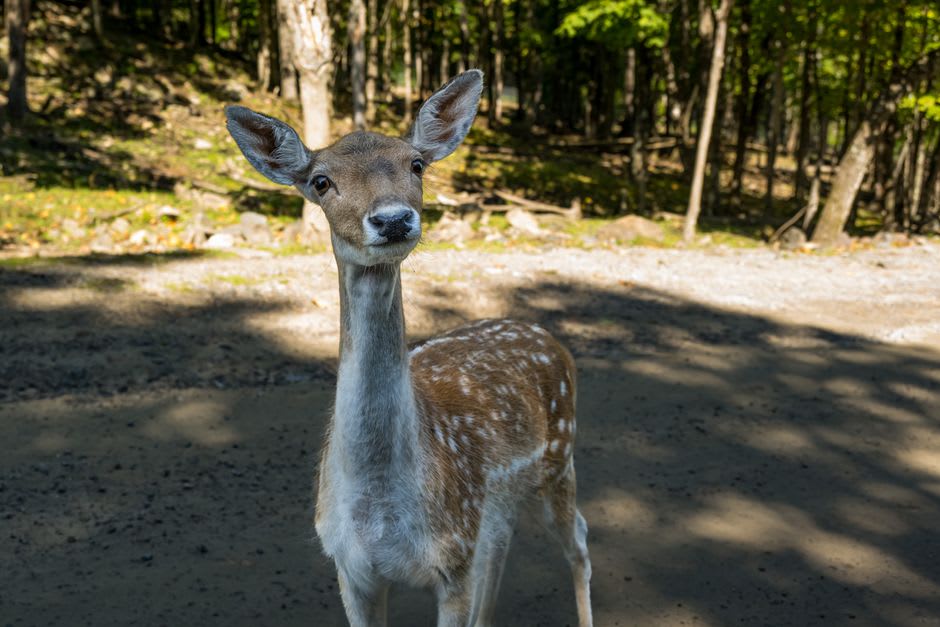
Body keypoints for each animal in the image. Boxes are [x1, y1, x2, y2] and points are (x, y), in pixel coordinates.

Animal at [224, 70, 592, 627]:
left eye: (416, 165)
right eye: (320, 181)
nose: (394, 219)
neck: (380, 517)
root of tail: (546, 337)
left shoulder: (452, 558)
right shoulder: (350, 570)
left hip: (559, 460)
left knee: (580, 542)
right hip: (497, 502)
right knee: (502, 545)